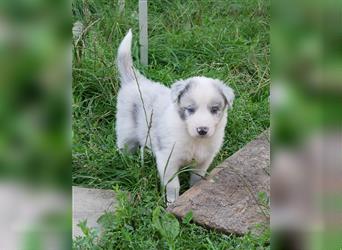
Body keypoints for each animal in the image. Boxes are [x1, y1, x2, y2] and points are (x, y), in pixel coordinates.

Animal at [115, 29, 235, 204]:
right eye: (190, 109)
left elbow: (197, 179)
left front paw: (193, 191)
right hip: (126, 131)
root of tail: (135, 81)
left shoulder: (204, 160)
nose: (202, 130)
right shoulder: (168, 159)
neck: (195, 139)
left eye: (214, 109)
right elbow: (173, 186)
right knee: (125, 147)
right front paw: (172, 202)